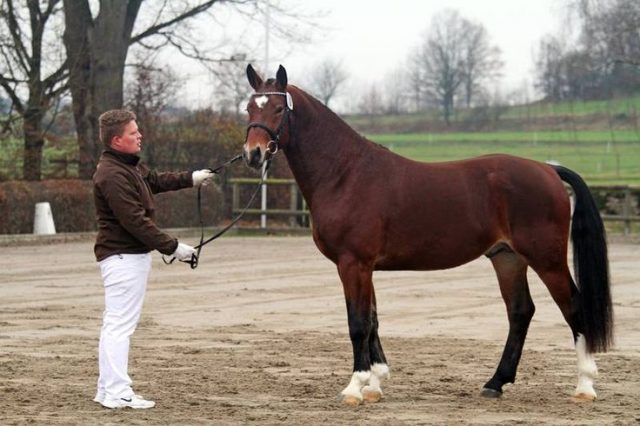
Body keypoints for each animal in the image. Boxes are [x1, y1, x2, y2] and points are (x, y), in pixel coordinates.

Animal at [242, 64, 612, 406]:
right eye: (249, 108)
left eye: (279, 108)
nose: (253, 154)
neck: (345, 174)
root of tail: (548, 168)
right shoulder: (366, 267)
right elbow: (373, 321)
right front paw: (375, 384)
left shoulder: (353, 263)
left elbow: (358, 323)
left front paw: (354, 388)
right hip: (507, 258)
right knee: (520, 312)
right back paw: (495, 382)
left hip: (547, 259)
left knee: (573, 307)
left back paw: (584, 385)